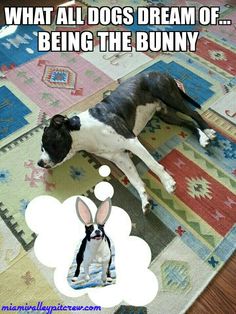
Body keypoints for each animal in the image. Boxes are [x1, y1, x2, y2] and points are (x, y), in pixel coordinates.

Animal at [37, 71, 217, 213]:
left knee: (194, 114)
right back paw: (203, 138)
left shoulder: (131, 141)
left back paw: (208, 131)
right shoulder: (121, 158)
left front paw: (167, 182)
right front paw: (144, 200)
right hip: (167, 114)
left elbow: (152, 164)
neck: (83, 132)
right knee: (189, 123)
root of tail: (160, 72)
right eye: (41, 147)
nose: (39, 163)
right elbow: (134, 180)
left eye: (47, 142)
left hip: (170, 97)